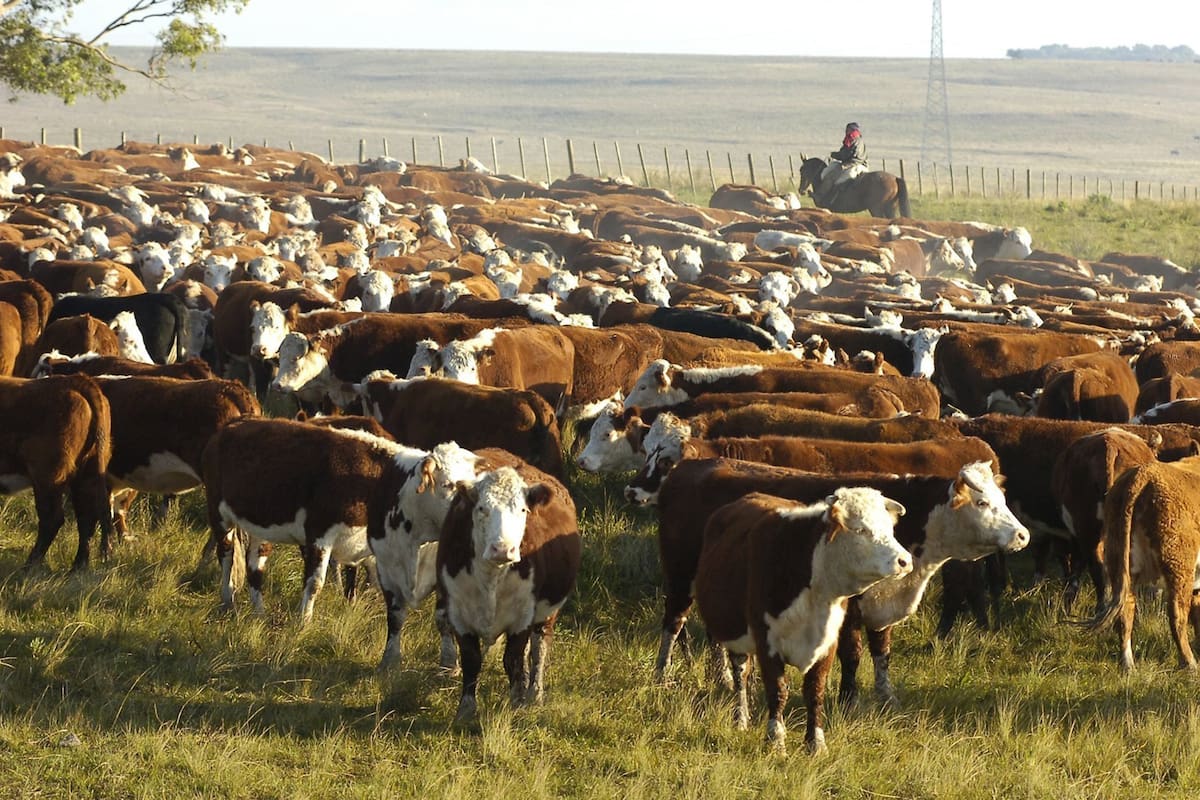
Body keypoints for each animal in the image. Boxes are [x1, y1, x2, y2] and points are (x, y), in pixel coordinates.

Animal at [0, 375, 113, 570]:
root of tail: (76, 380)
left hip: (47, 478)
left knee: (52, 518)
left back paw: (29, 566)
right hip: (86, 475)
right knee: (86, 517)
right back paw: (78, 566)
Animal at [438, 458, 581, 721]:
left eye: (523, 510)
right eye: (482, 509)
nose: (503, 549)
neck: (491, 578)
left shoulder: (522, 616)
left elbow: (512, 659)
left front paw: (517, 704)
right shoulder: (458, 613)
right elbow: (472, 660)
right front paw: (466, 710)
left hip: (547, 613)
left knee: (538, 648)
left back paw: (534, 692)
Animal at [693, 488, 912, 753]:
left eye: (889, 528)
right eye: (860, 529)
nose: (904, 560)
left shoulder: (828, 642)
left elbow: (815, 691)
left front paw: (816, 743)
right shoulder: (767, 641)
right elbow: (777, 691)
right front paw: (776, 740)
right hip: (736, 636)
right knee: (740, 675)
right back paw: (741, 718)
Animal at [1087, 456, 1200, 671]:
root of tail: (1142, 474)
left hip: (1121, 563)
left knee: (1125, 611)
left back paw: (1128, 664)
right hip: (1179, 566)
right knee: (1177, 615)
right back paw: (1190, 663)